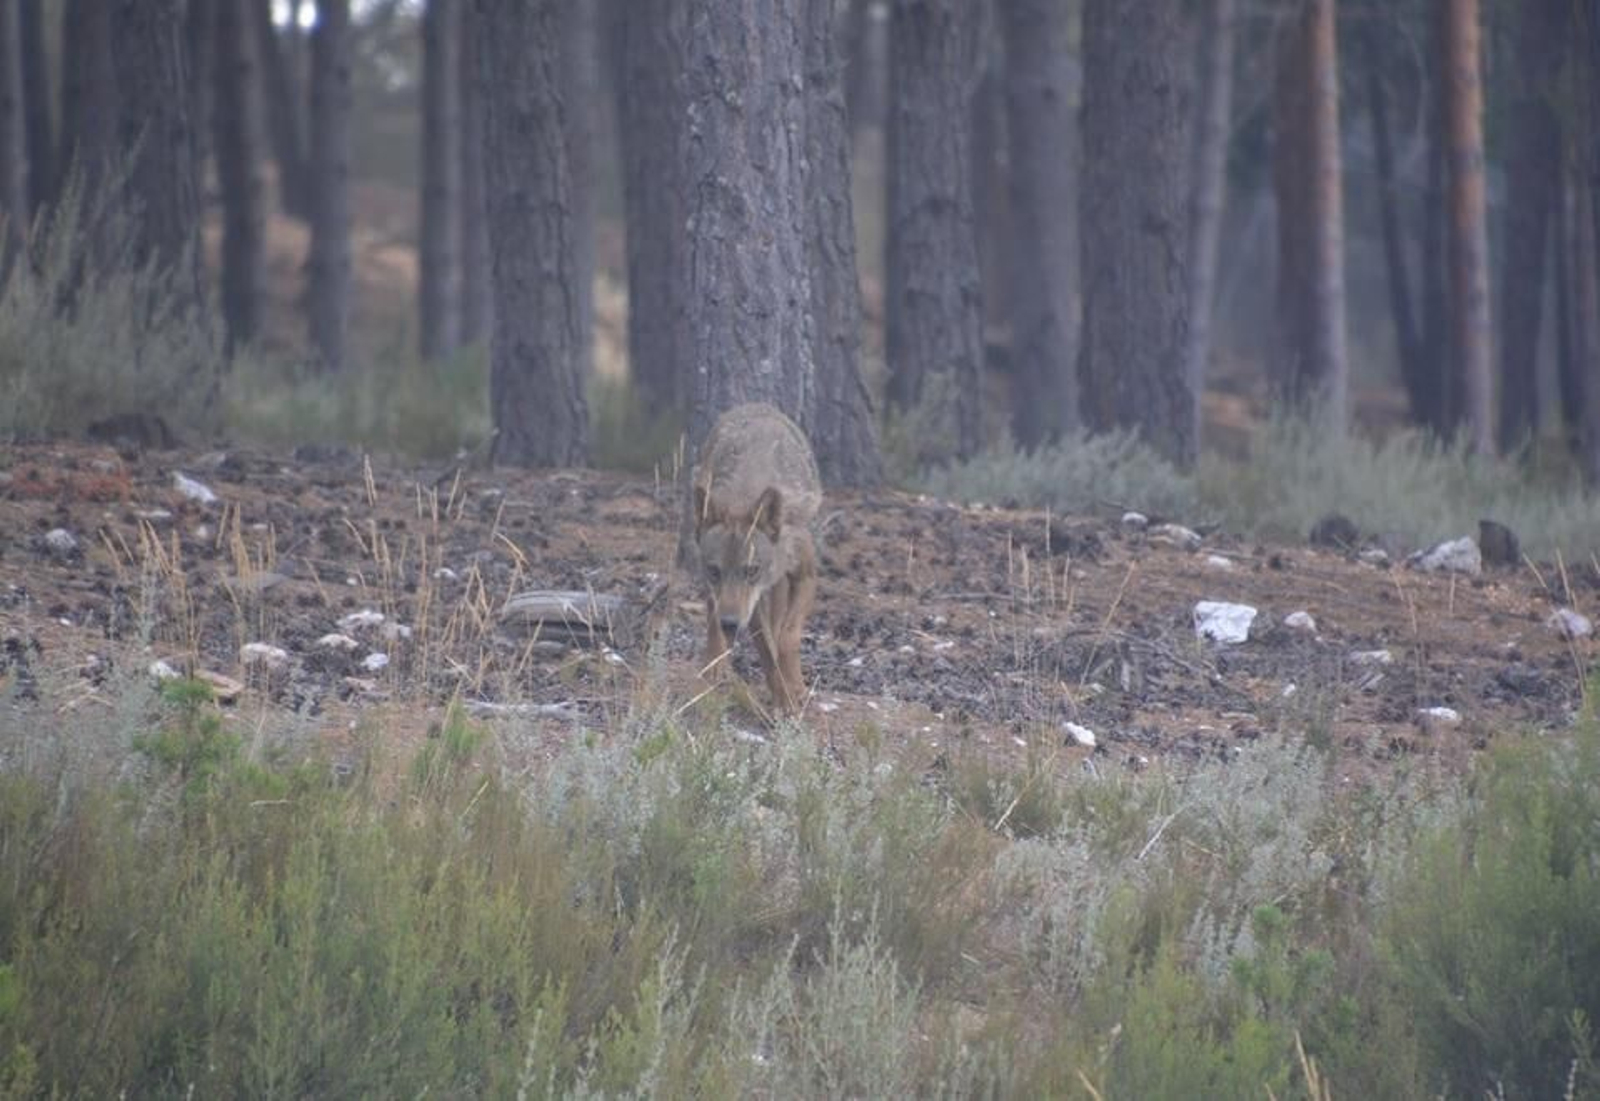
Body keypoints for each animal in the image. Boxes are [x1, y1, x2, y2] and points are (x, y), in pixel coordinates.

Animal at [691, 402, 822, 714]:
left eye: (751, 570)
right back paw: (715, 662)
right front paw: (784, 700)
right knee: (712, 612)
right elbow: (768, 650)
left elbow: (786, 638)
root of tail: (754, 405)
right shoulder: (747, 606)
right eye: (714, 571)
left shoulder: (806, 576)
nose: (729, 623)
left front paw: (794, 691)